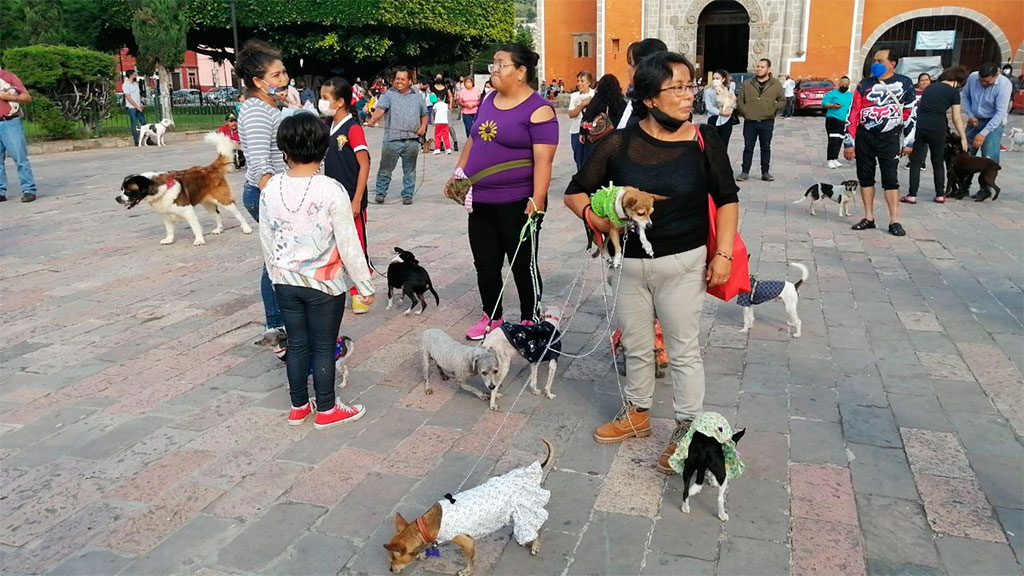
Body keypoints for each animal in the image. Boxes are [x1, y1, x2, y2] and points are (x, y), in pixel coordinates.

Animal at [115, 132, 250, 243]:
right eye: (121, 189)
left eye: (128, 191)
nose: (117, 199)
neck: (157, 187)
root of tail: (210, 168)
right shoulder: (166, 214)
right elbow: (169, 229)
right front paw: (169, 239)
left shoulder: (188, 211)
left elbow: (195, 227)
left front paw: (199, 240)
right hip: (207, 203)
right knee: (216, 214)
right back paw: (219, 229)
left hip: (223, 200)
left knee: (238, 214)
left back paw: (246, 228)